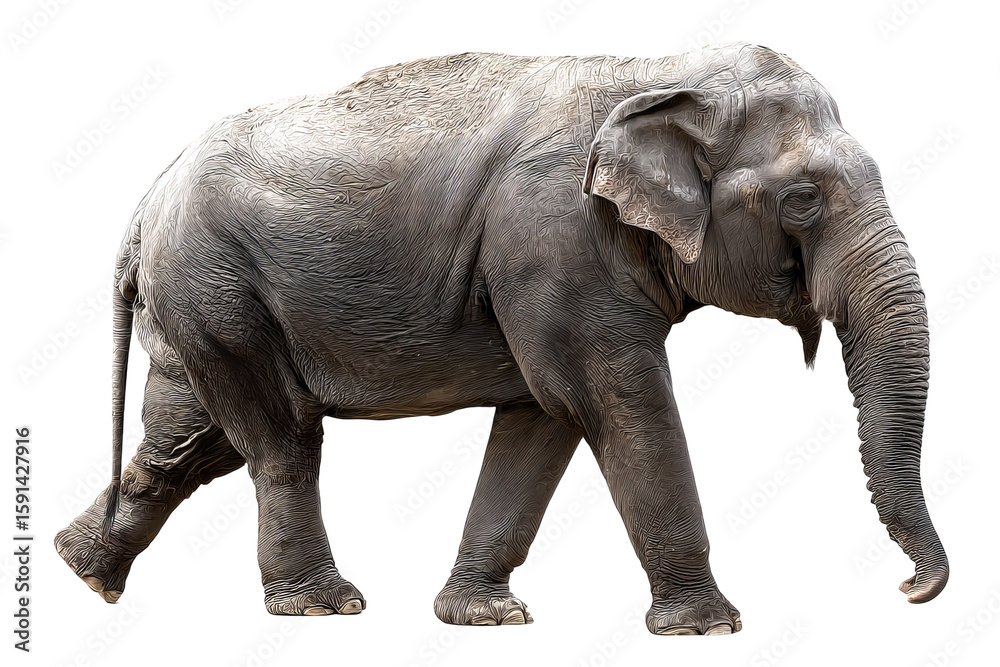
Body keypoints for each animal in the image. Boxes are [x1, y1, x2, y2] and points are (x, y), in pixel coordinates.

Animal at [55, 42, 948, 635]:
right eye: (803, 198)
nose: (909, 591)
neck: (658, 71)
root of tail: (145, 202)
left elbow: (540, 418)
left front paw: (482, 616)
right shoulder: (552, 240)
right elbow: (618, 403)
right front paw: (709, 627)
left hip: (200, 301)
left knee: (188, 439)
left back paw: (83, 568)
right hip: (217, 287)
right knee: (280, 436)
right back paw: (322, 605)